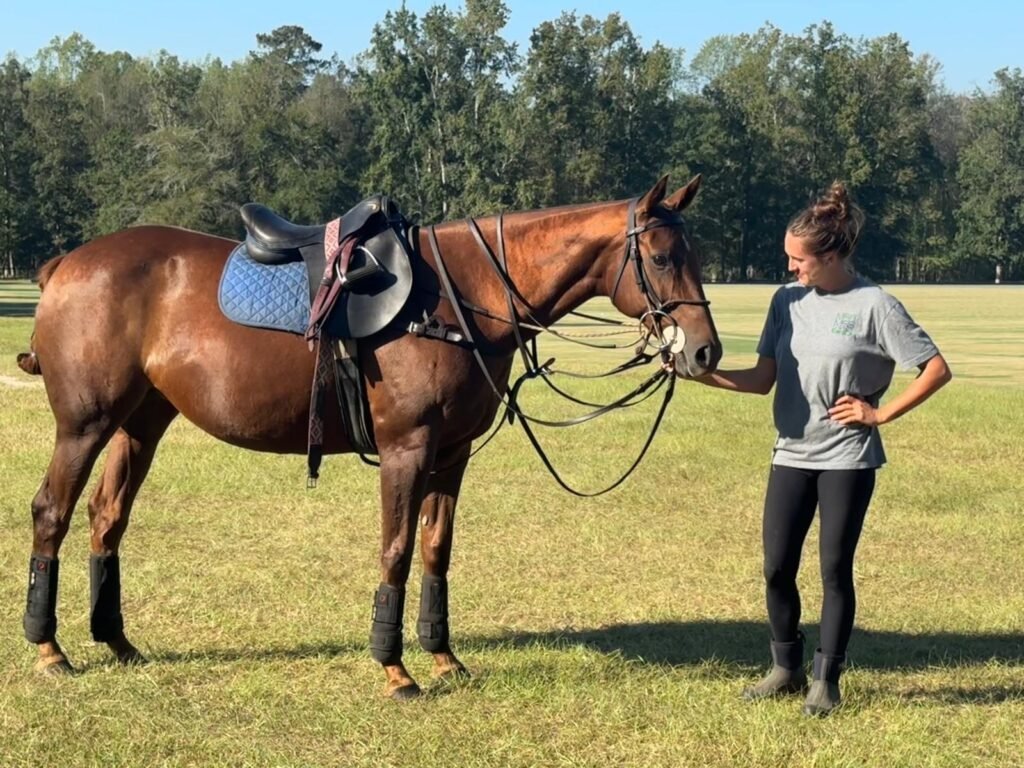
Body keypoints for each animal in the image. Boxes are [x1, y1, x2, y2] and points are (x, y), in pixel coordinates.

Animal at [17, 175, 721, 699]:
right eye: (662, 258)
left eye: (699, 258)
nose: (706, 352)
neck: (461, 297)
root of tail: (64, 263)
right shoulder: (407, 448)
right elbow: (398, 551)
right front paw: (394, 667)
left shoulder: (451, 453)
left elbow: (436, 550)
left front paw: (443, 656)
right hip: (85, 423)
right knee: (52, 511)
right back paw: (48, 648)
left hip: (142, 421)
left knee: (107, 517)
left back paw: (115, 640)